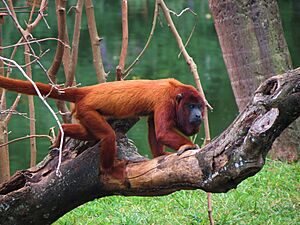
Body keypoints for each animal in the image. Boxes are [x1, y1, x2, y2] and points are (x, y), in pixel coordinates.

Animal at [0, 75, 205, 172]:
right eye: (191, 106)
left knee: (87, 133)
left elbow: (153, 125)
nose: (198, 115)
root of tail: (86, 91)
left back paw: (63, 132)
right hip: (87, 110)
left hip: (84, 114)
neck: (176, 91)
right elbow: (162, 131)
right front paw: (189, 145)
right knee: (107, 136)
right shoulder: (165, 100)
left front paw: (160, 154)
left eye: (199, 106)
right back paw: (110, 168)